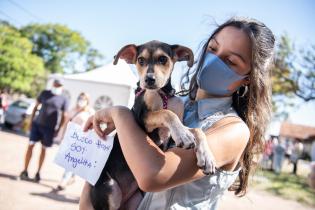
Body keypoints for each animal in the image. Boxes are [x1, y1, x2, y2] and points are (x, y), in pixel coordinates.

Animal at [90, 41, 216, 210]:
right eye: (140, 60)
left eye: (163, 59)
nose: (149, 79)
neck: (162, 93)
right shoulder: (142, 118)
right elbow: (166, 113)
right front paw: (183, 135)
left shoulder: (173, 132)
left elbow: (196, 130)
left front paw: (207, 157)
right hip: (110, 189)